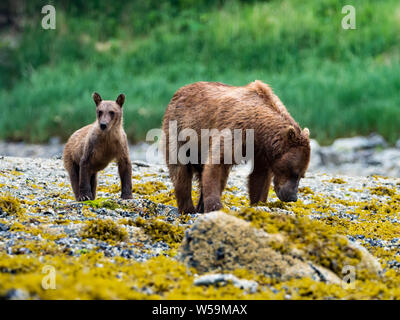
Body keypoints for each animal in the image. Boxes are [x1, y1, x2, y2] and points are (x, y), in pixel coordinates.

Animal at [161, 81, 310, 214]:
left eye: (302, 175)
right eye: (294, 172)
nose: (292, 197)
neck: (259, 130)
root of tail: (179, 90)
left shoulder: (261, 151)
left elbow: (259, 176)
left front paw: (258, 203)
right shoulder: (235, 129)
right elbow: (217, 163)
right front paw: (215, 207)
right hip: (180, 131)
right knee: (180, 170)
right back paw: (188, 209)